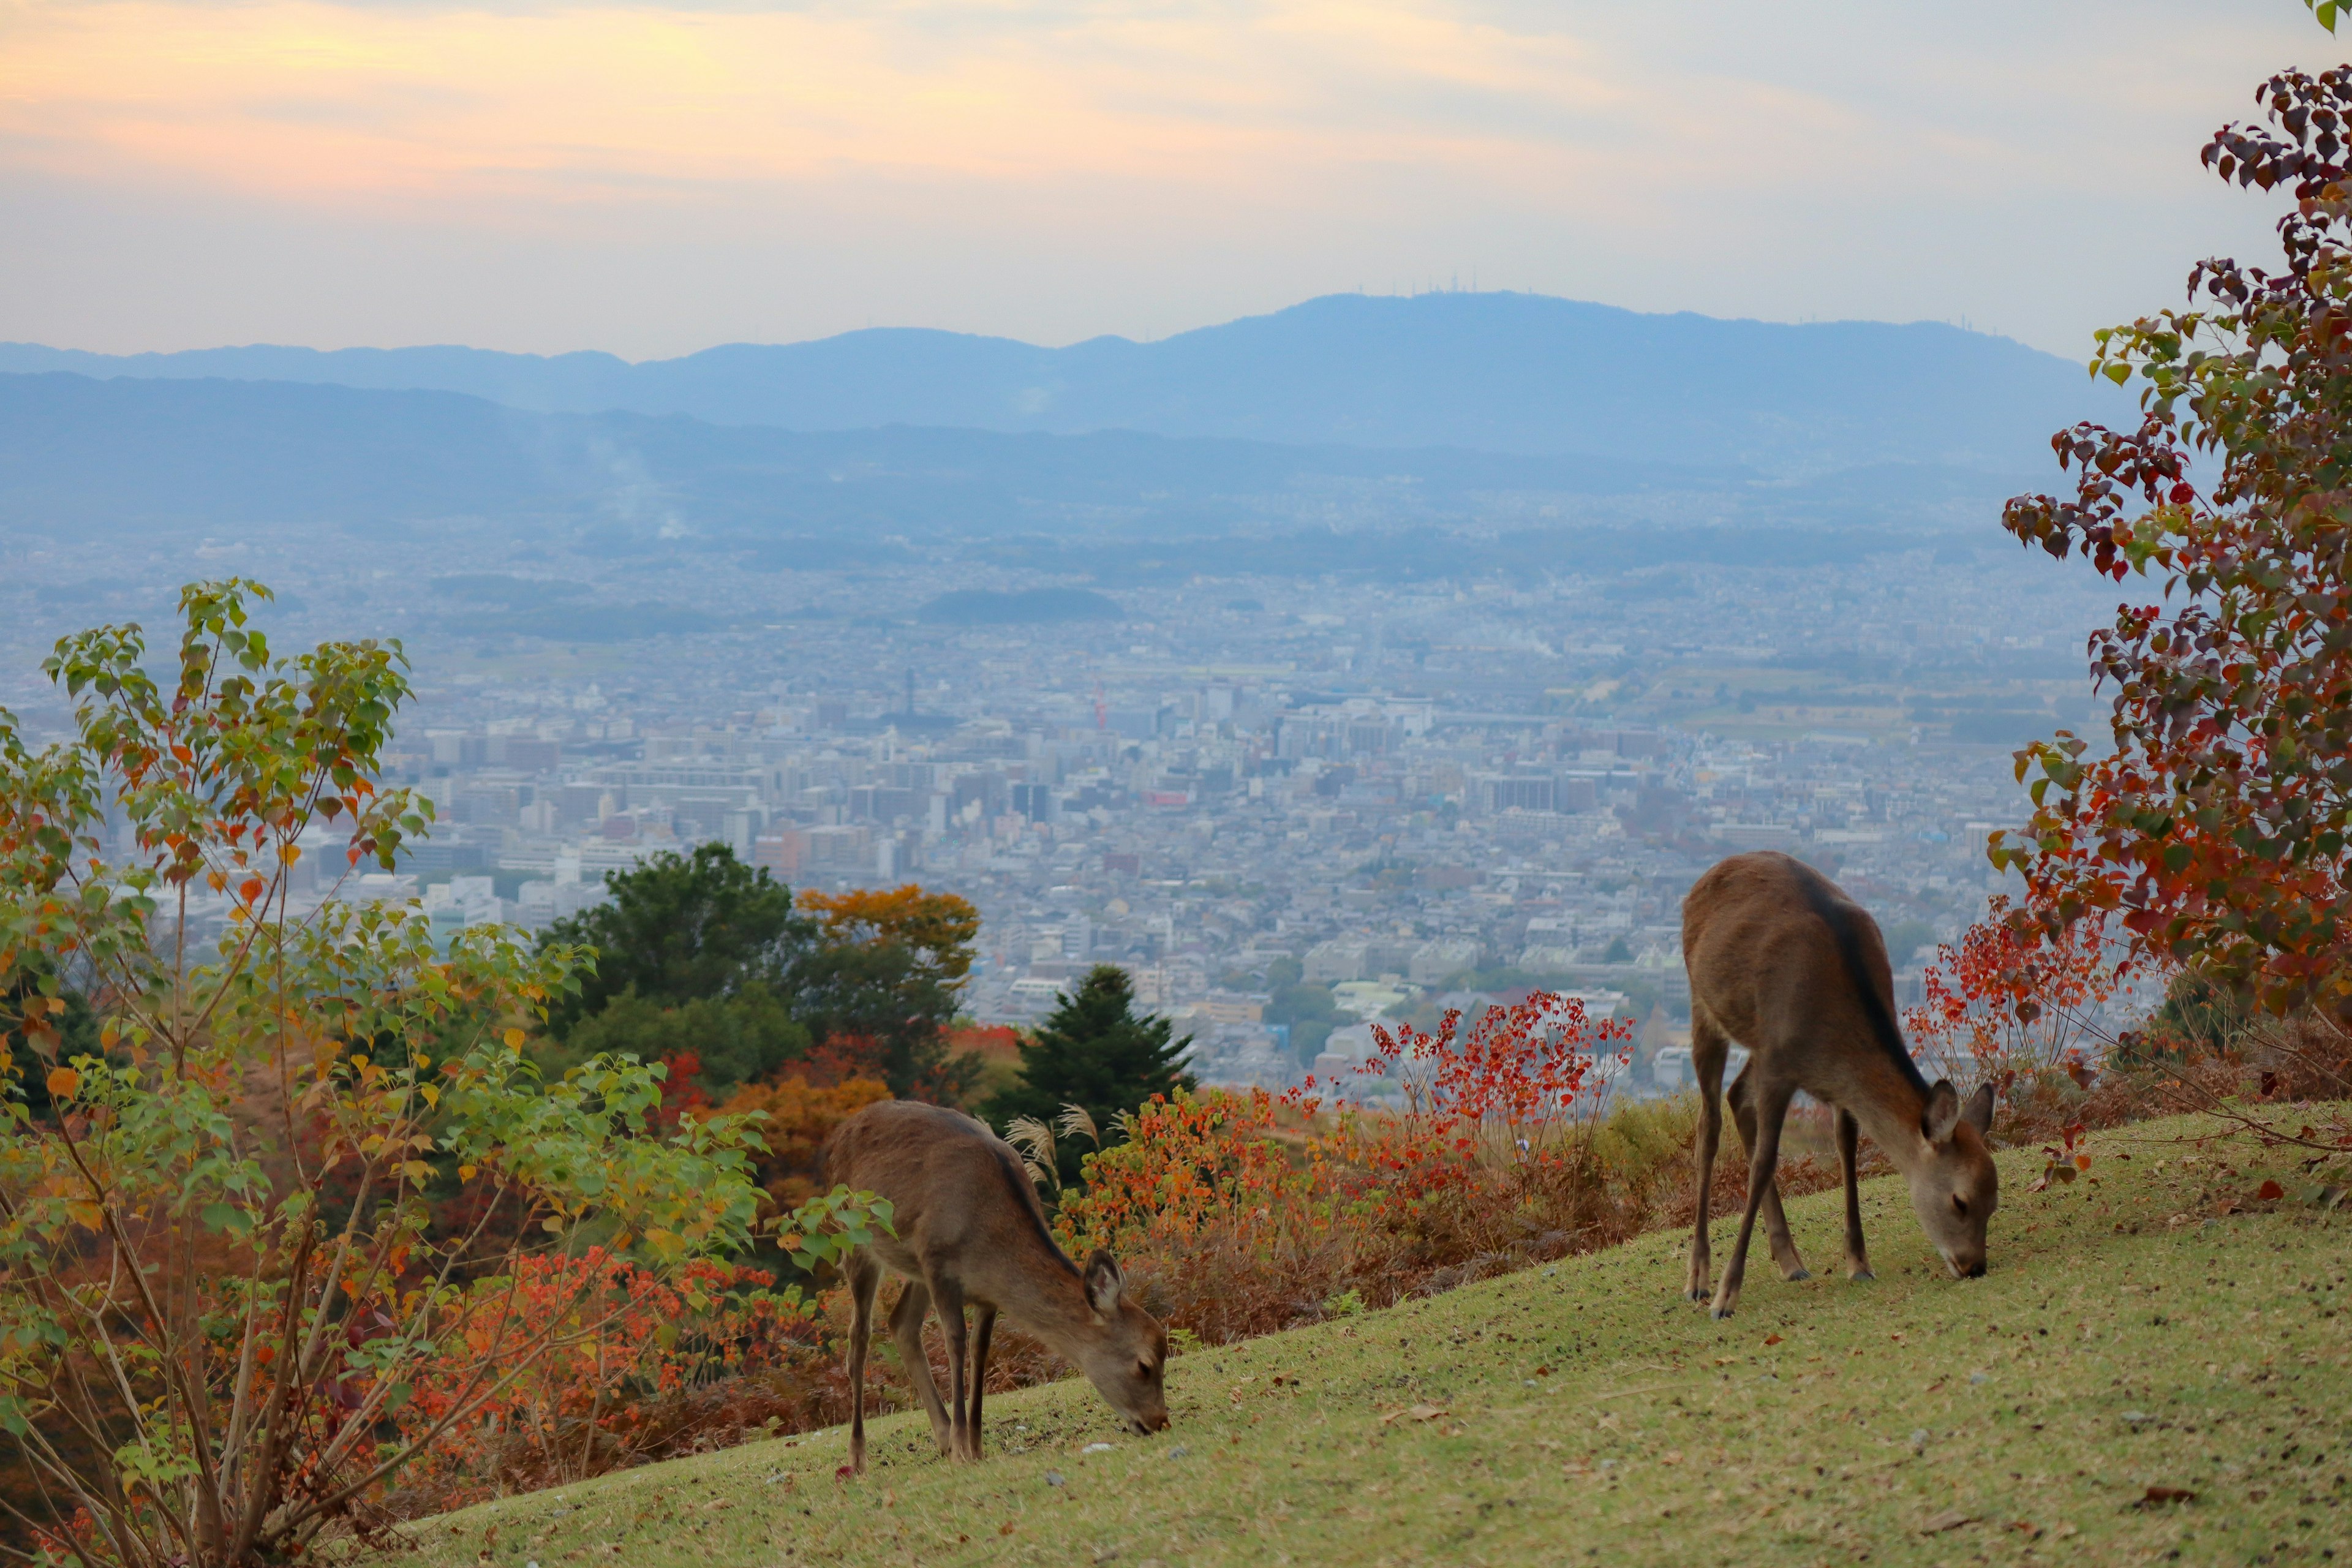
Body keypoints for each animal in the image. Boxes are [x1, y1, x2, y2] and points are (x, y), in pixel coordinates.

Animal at [823, 1100, 1171, 1476]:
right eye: (1145, 1365)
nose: (1159, 1421)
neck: (988, 1243)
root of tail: (840, 1134)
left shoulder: (984, 1294)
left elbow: (980, 1349)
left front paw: (974, 1447)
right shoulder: (939, 1264)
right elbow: (956, 1343)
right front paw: (963, 1449)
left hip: (913, 1266)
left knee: (901, 1323)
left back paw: (943, 1437)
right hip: (854, 1237)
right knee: (859, 1337)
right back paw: (858, 1458)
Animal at [1684, 851, 1994, 1316]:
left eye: (1994, 1202)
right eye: (1961, 1201)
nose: (1975, 1266)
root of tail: (1704, 879)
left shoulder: (1822, 1077)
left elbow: (1847, 1145)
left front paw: (1859, 1263)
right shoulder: (1778, 1064)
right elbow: (1764, 1163)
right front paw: (1726, 1297)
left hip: (1756, 1040)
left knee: (1737, 1096)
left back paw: (1791, 1262)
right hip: (1703, 1004)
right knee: (1709, 1125)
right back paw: (1699, 1278)